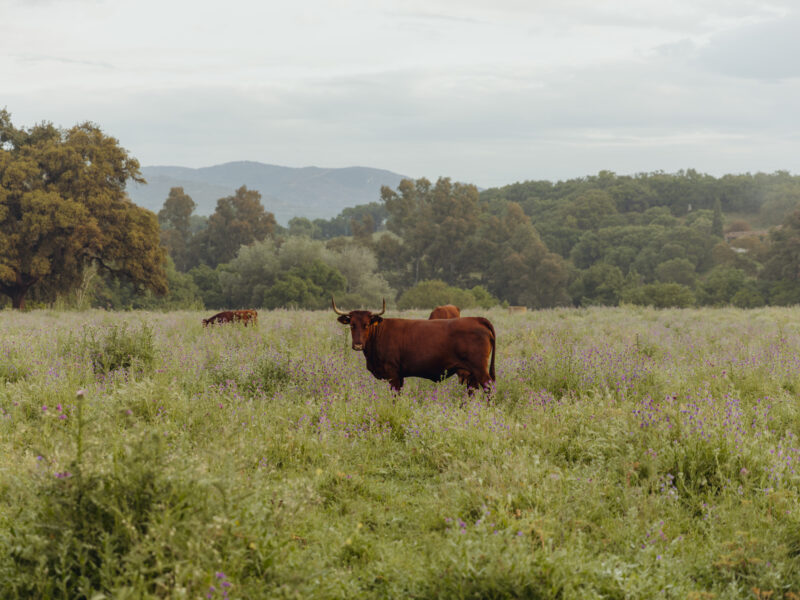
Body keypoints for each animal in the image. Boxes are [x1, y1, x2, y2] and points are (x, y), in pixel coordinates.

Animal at [332, 296, 494, 392]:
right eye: (352, 325)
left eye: (366, 325)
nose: (358, 345)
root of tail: (477, 319)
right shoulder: (400, 376)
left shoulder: (393, 374)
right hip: (471, 373)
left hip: (479, 369)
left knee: (488, 387)